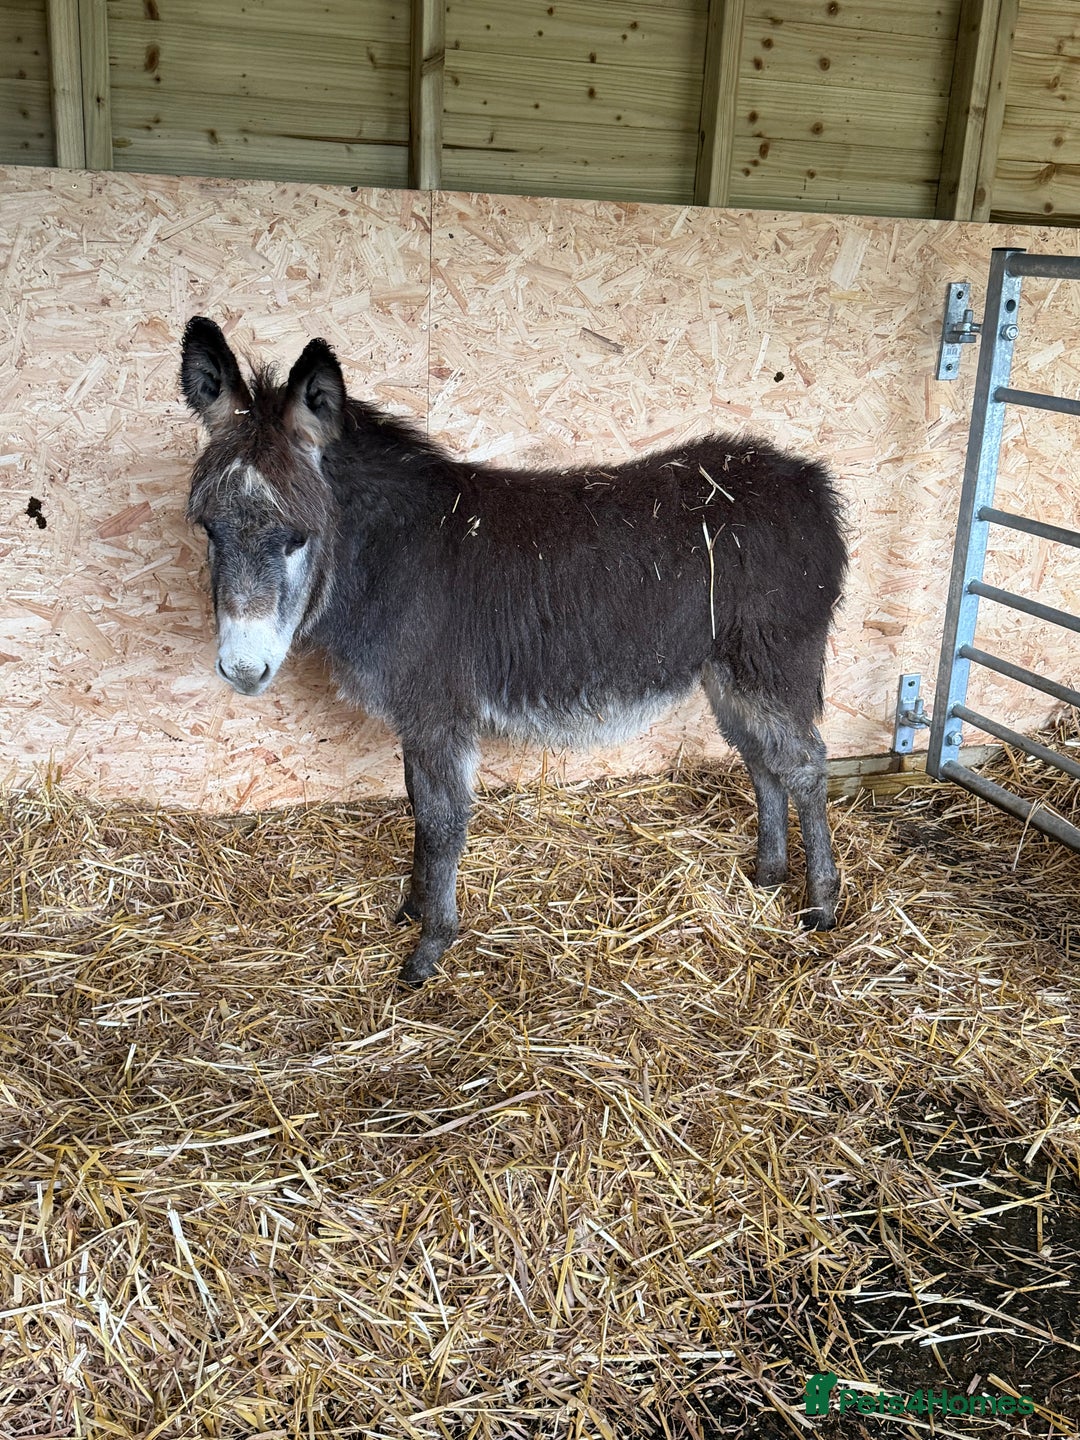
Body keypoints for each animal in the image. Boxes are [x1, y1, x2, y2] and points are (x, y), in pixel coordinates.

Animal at [180, 317, 847, 986]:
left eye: (298, 537)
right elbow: (418, 806)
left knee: (805, 765)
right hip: (727, 671)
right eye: (209, 530)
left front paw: (430, 947)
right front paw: (412, 908)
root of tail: (808, 482)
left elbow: (442, 819)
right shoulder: (419, 715)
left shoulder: (438, 710)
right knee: (762, 761)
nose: (243, 669)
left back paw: (820, 903)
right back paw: (768, 875)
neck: (387, 554)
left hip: (772, 662)